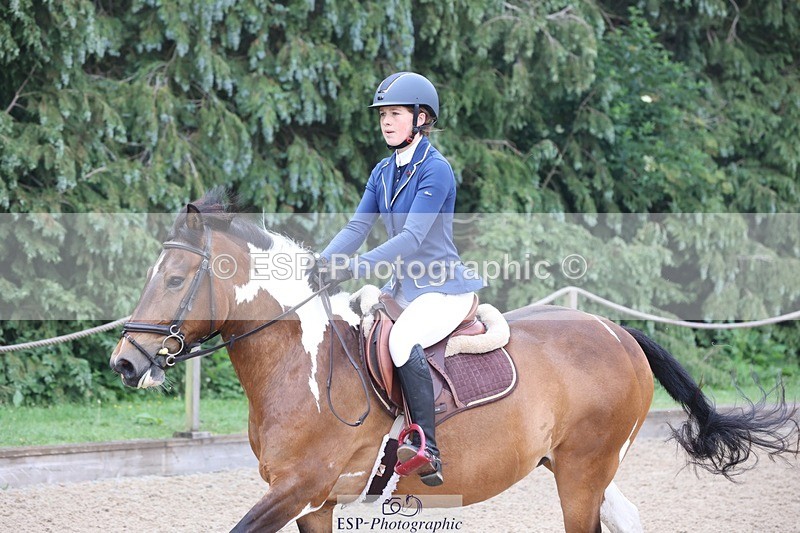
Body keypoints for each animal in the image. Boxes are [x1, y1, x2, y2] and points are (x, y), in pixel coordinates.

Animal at [109, 190, 799, 532]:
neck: (300, 367)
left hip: (582, 474)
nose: (125, 362)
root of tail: (616, 331)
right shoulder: (317, 503)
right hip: (583, 469)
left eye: (175, 279)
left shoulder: (299, 489)